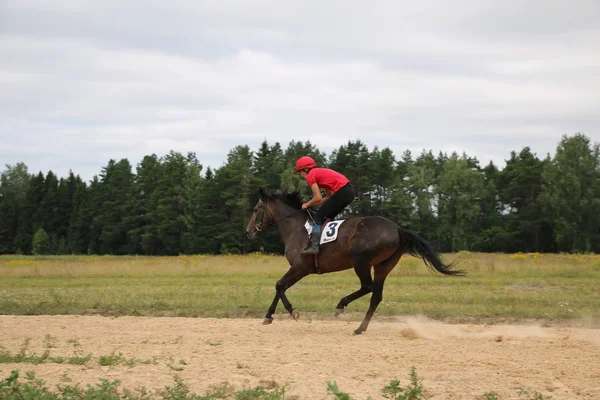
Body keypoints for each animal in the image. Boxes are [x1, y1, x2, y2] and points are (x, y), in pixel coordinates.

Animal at [245, 188, 464, 334]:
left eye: (256, 209)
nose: (248, 231)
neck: (296, 228)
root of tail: (397, 229)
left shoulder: (301, 267)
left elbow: (279, 285)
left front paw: (292, 312)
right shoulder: (298, 269)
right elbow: (280, 286)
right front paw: (268, 316)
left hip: (361, 260)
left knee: (368, 287)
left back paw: (341, 306)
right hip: (383, 265)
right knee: (376, 295)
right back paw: (360, 327)